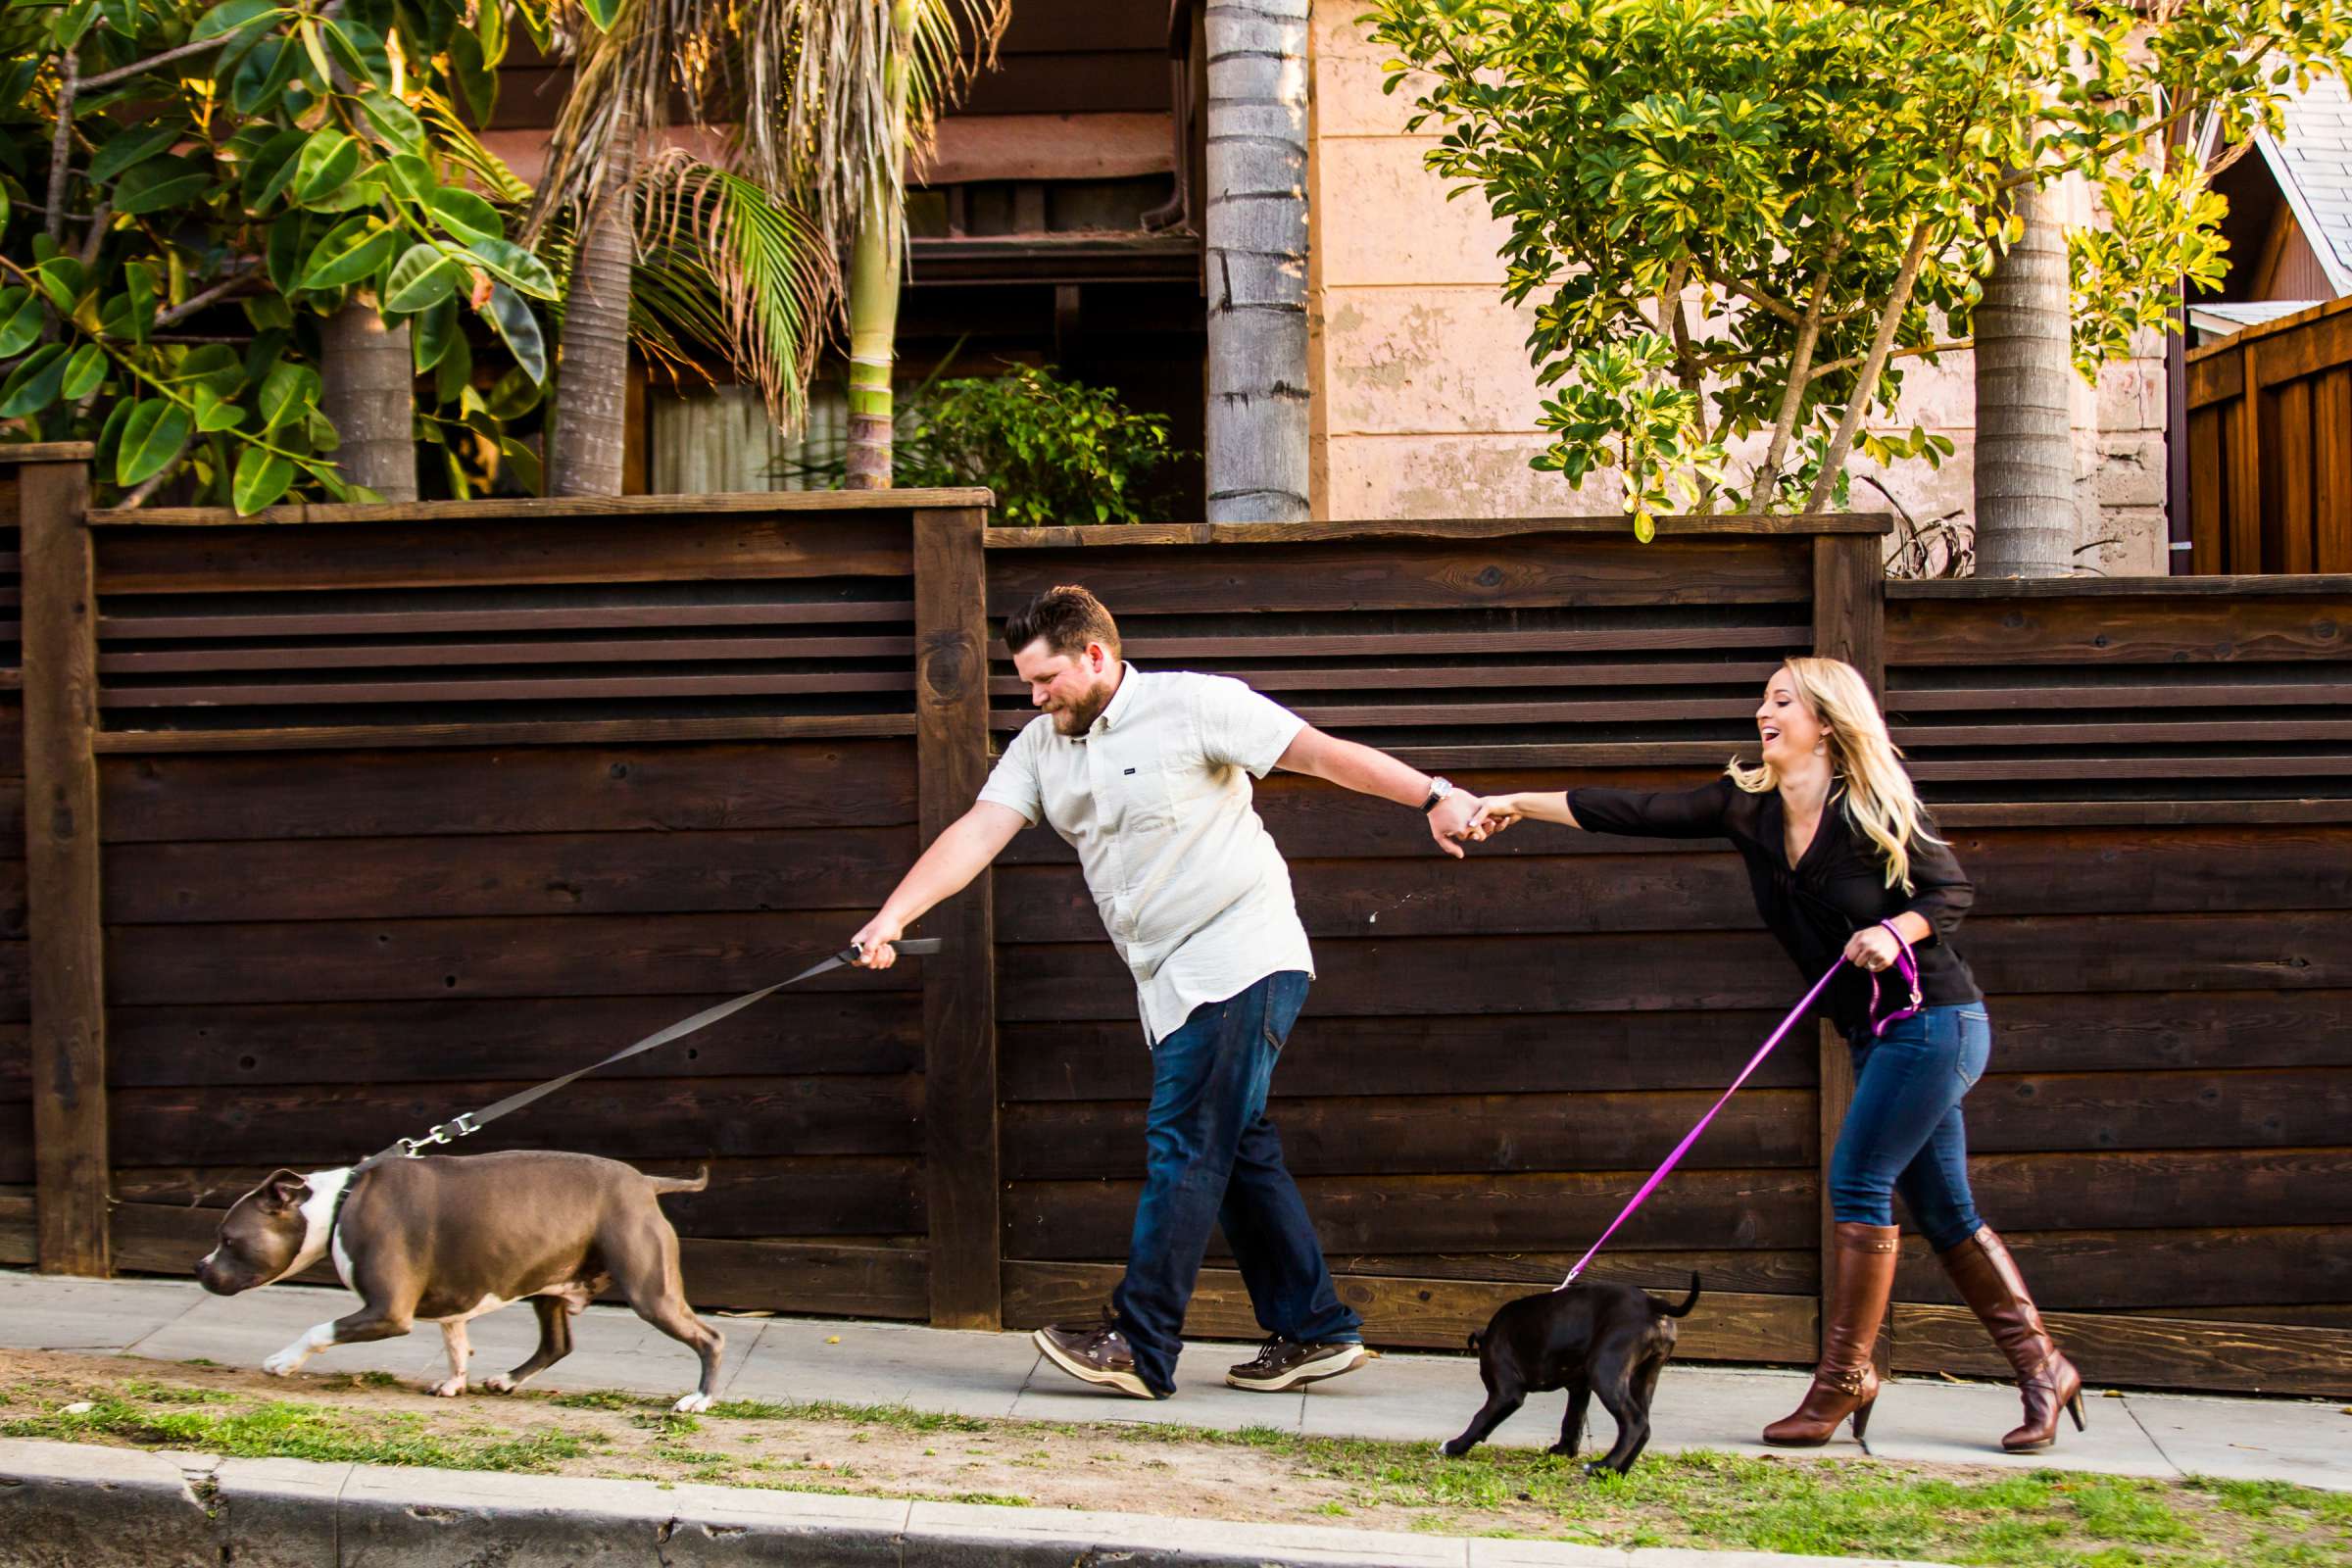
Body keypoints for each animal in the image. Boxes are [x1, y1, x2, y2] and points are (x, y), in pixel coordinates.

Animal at [195, 1147, 714, 1419]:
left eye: (227, 1238)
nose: (199, 1267)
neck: (337, 1205)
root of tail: (646, 1182)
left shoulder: (386, 1311)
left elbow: (318, 1330)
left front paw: (282, 1362)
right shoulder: (450, 1301)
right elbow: (455, 1341)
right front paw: (453, 1383)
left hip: (650, 1291)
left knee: (709, 1338)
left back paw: (700, 1398)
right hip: (548, 1286)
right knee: (557, 1343)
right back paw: (507, 1380)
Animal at [1439, 1278, 1702, 1476]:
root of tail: (1653, 1303)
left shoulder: (1506, 1393)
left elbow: (1480, 1417)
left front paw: (1455, 1445)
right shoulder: (1579, 1388)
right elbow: (1572, 1420)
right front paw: (1564, 1451)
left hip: (1606, 1371)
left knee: (1634, 1422)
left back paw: (1602, 1465)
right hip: (1645, 1376)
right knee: (1645, 1425)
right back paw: (1616, 1471)